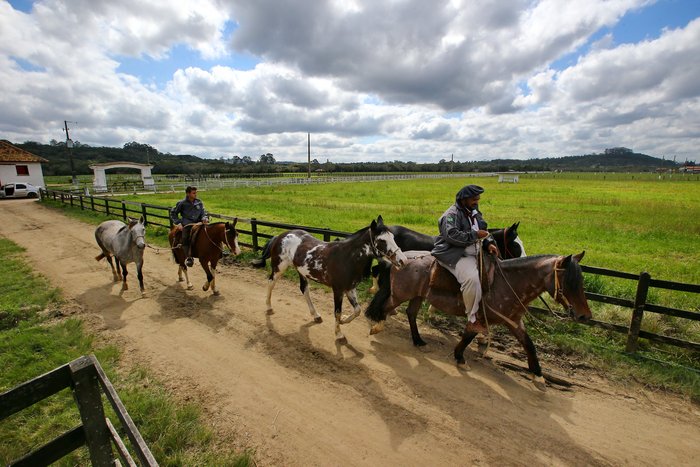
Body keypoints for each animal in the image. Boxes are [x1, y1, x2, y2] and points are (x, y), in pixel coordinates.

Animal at [253, 217, 408, 344]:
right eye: (382, 240)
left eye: (393, 237)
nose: (403, 260)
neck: (347, 258)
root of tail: (280, 236)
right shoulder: (338, 290)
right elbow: (337, 312)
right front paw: (339, 335)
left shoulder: (350, 288)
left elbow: (357, 310)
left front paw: (344, 321)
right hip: (279, 267)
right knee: (271, 283)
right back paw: (268, 307)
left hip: (301, 272)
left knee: (304, 289)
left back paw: (316, 315)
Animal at [366, 250, 592, 390]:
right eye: (568, 282)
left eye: (581, 281)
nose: (585, 316)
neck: (509, 283)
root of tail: (400, 259)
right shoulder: (480, 317)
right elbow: (468, 335)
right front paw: (460, 357)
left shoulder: (513, 321)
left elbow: (529, 344)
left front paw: (538, 376)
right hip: (401, 294)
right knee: (385, 306)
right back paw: (376, 326)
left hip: (417, 296)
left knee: (410, 313)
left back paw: (418, 340)